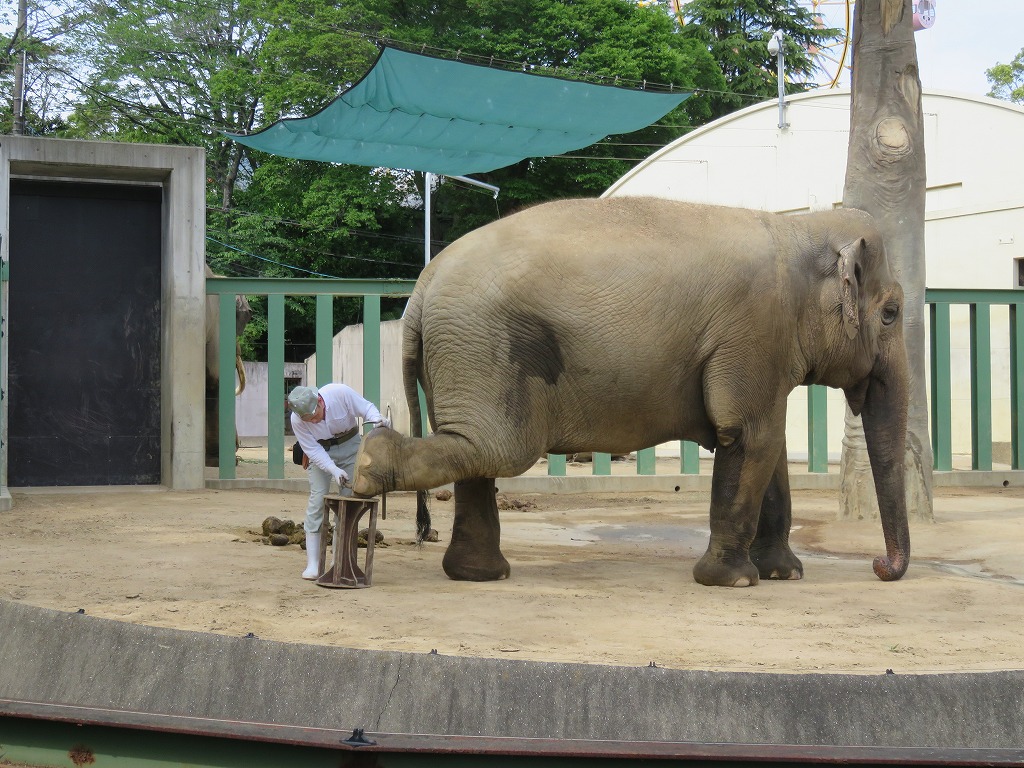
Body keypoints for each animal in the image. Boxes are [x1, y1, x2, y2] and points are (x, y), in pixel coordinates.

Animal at [352, 198, 913, 589]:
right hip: (483, 347)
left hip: (463, 355)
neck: (799, 227)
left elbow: (766, 445)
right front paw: (734, 582)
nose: (879, 566)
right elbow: (751, 436)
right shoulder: (754, 330)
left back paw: (478, 574)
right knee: (498, 448)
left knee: (474, 448)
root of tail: (421, 288)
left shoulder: (763, 347)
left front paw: (784, 574)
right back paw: (367, 464)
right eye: (892, 313)